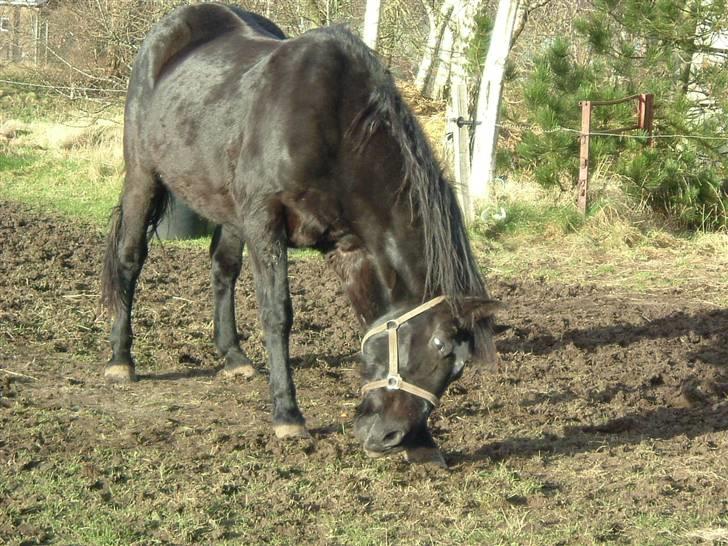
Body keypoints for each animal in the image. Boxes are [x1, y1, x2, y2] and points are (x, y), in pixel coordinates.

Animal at [101, 4, 500, 460]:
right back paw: (120, 360)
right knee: (130, 258)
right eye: (438, 347)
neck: (336, 128)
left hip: (228, 208)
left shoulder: (350, 249)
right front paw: (288, 416)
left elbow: (372, 320)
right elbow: (278, 315)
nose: (389, 437)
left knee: (222, 268)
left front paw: (424, 443)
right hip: (143, 177)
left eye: (458, 370)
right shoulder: (265, 223)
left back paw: (233, 356)